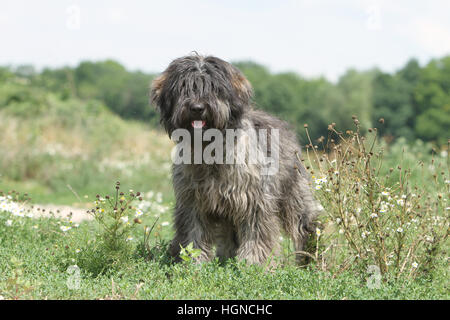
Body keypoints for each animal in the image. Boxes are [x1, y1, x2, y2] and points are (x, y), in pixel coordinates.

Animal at [151, 54, 320, 264]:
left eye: (214, 88)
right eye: (185, 87)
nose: (197, 108)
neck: (210, 150)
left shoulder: (254, 200)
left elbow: (256, 233)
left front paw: (255, 263)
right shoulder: (192, 201)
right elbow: (193, 232)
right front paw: (194, 261)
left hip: (294, 195)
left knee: (306, 225)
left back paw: (310, 259)